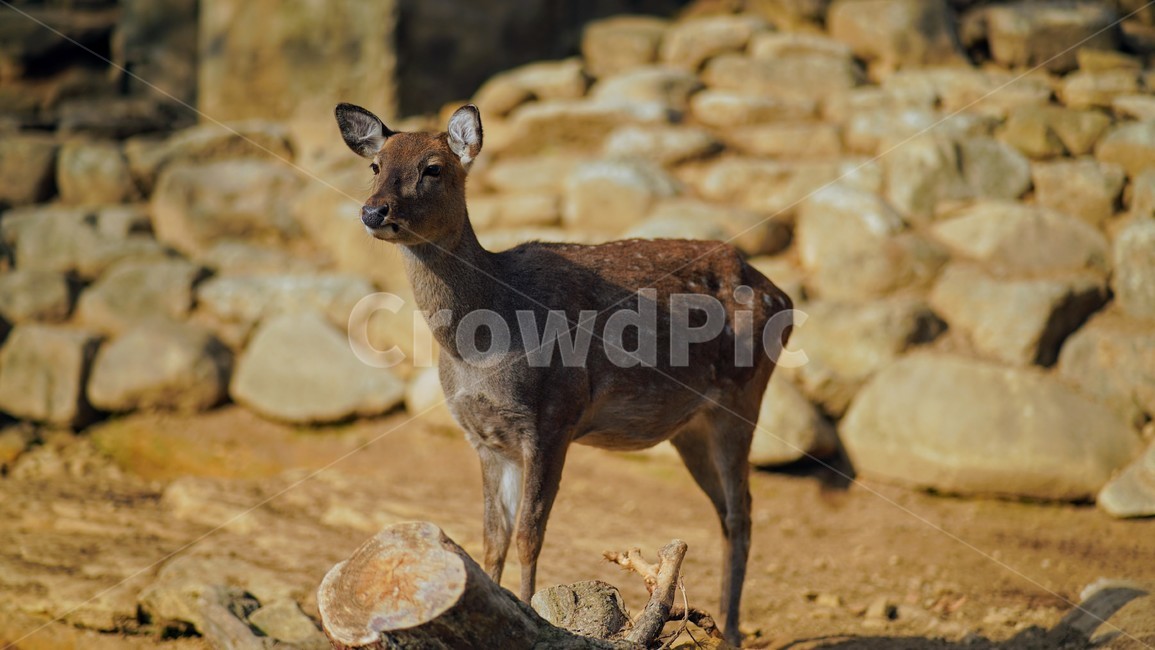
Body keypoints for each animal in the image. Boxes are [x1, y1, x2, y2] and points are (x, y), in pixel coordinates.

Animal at [334, 102, 793, 646]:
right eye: (375, 165)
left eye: (433, 168)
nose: (373, 211)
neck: (482, 346)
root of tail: (783, 297)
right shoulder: (485, 438)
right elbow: (492, 538)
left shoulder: (554, 418)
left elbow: (530, 534)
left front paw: (533, 611)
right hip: (691, 428)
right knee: (725, 510)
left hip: (742, 397)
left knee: (743, 511)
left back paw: (735, 630)